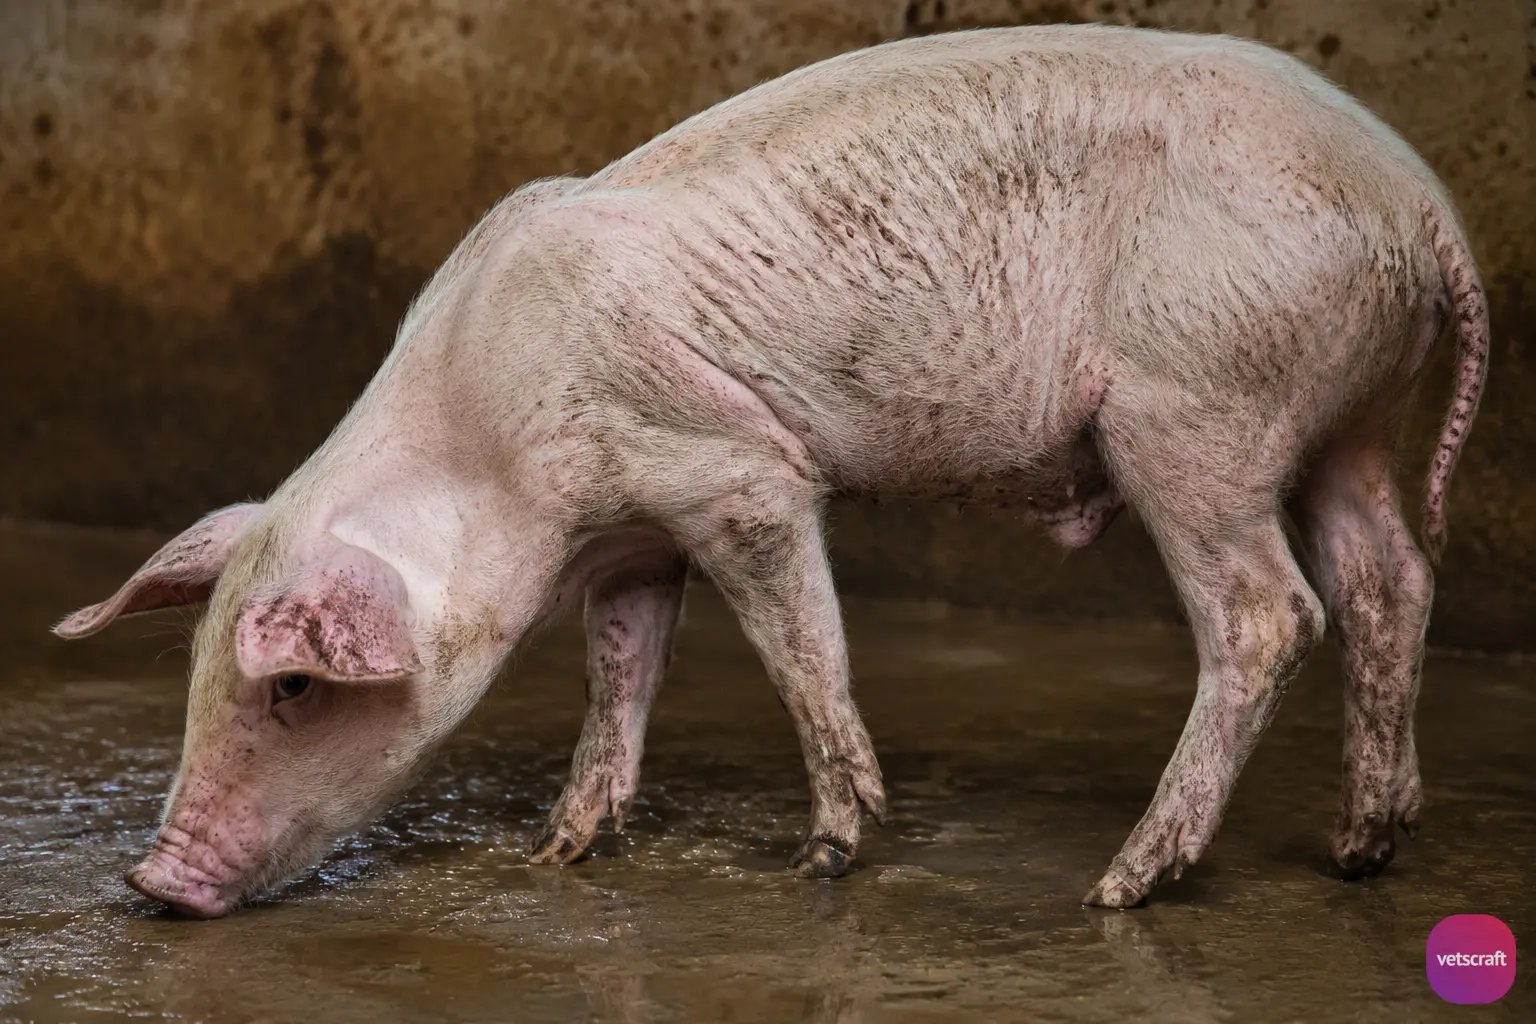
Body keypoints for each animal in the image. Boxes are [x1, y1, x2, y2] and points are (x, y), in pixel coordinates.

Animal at [56, 23, 1487, 916]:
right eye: (199, 669)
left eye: (292, 687)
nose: (151, 883)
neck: (496, 454)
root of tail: (1426, 209)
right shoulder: (633, 536)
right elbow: (620, 670)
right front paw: (564, 850)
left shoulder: (736, 472)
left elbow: (802, 643)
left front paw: (829, 855)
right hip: (1342, 417)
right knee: (1391, 579)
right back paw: (1365, 849)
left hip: (1199, 408)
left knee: (1271, 612)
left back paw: (1122, 884)